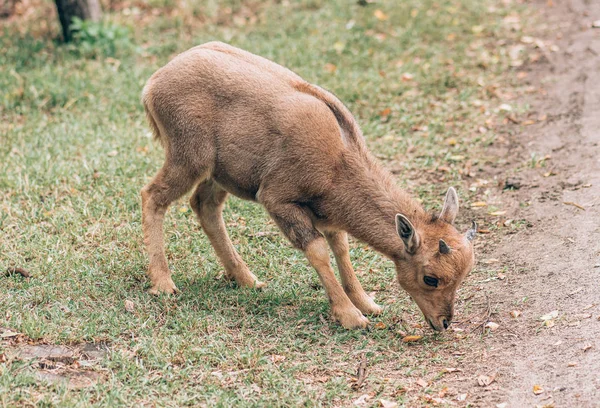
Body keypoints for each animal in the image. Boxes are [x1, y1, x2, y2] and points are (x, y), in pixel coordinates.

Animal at [139, 41, 474, 332]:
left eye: (462, 276)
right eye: (431, 278)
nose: (443, 322)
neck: (338, 158)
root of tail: (152, 85)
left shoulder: (325, 212)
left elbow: (341, 247)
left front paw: (367, 303)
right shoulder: (277, 198)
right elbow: (318, 250)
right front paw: (351, 316)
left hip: (221, 174)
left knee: (204, 205)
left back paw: (247, 279)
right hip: (189, 158)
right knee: (152, 196)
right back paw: (164, 283)